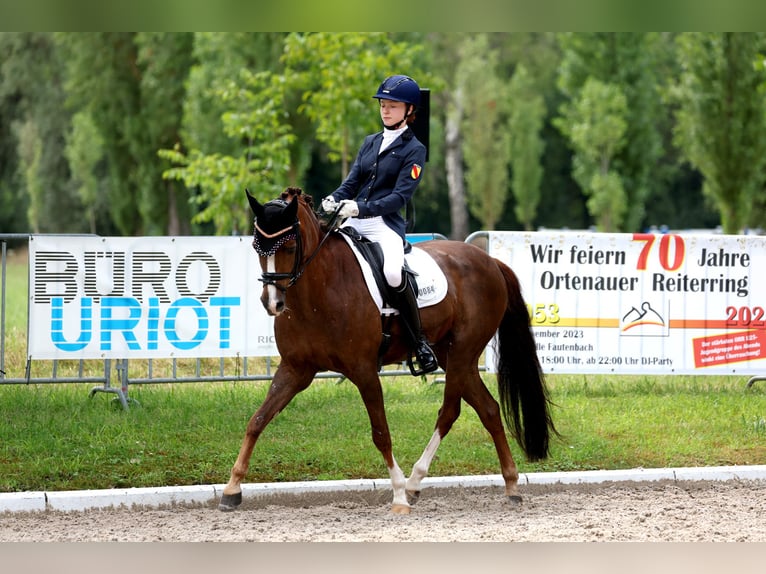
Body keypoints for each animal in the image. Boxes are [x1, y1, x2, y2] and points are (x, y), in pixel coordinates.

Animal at [219, 187, 556, 516]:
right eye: (257, 247)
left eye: (289, 247)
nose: (272, 303)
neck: (319, 290)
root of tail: (489, 261)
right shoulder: (294, 369)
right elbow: (257, 420)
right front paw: (232, 489)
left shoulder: (364, 371)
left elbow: (380, 432)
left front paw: (398, 495)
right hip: (455, 357)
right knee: (488, 409)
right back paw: (510, 486)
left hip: (462, 352)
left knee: (449, 411)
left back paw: (414, 483)